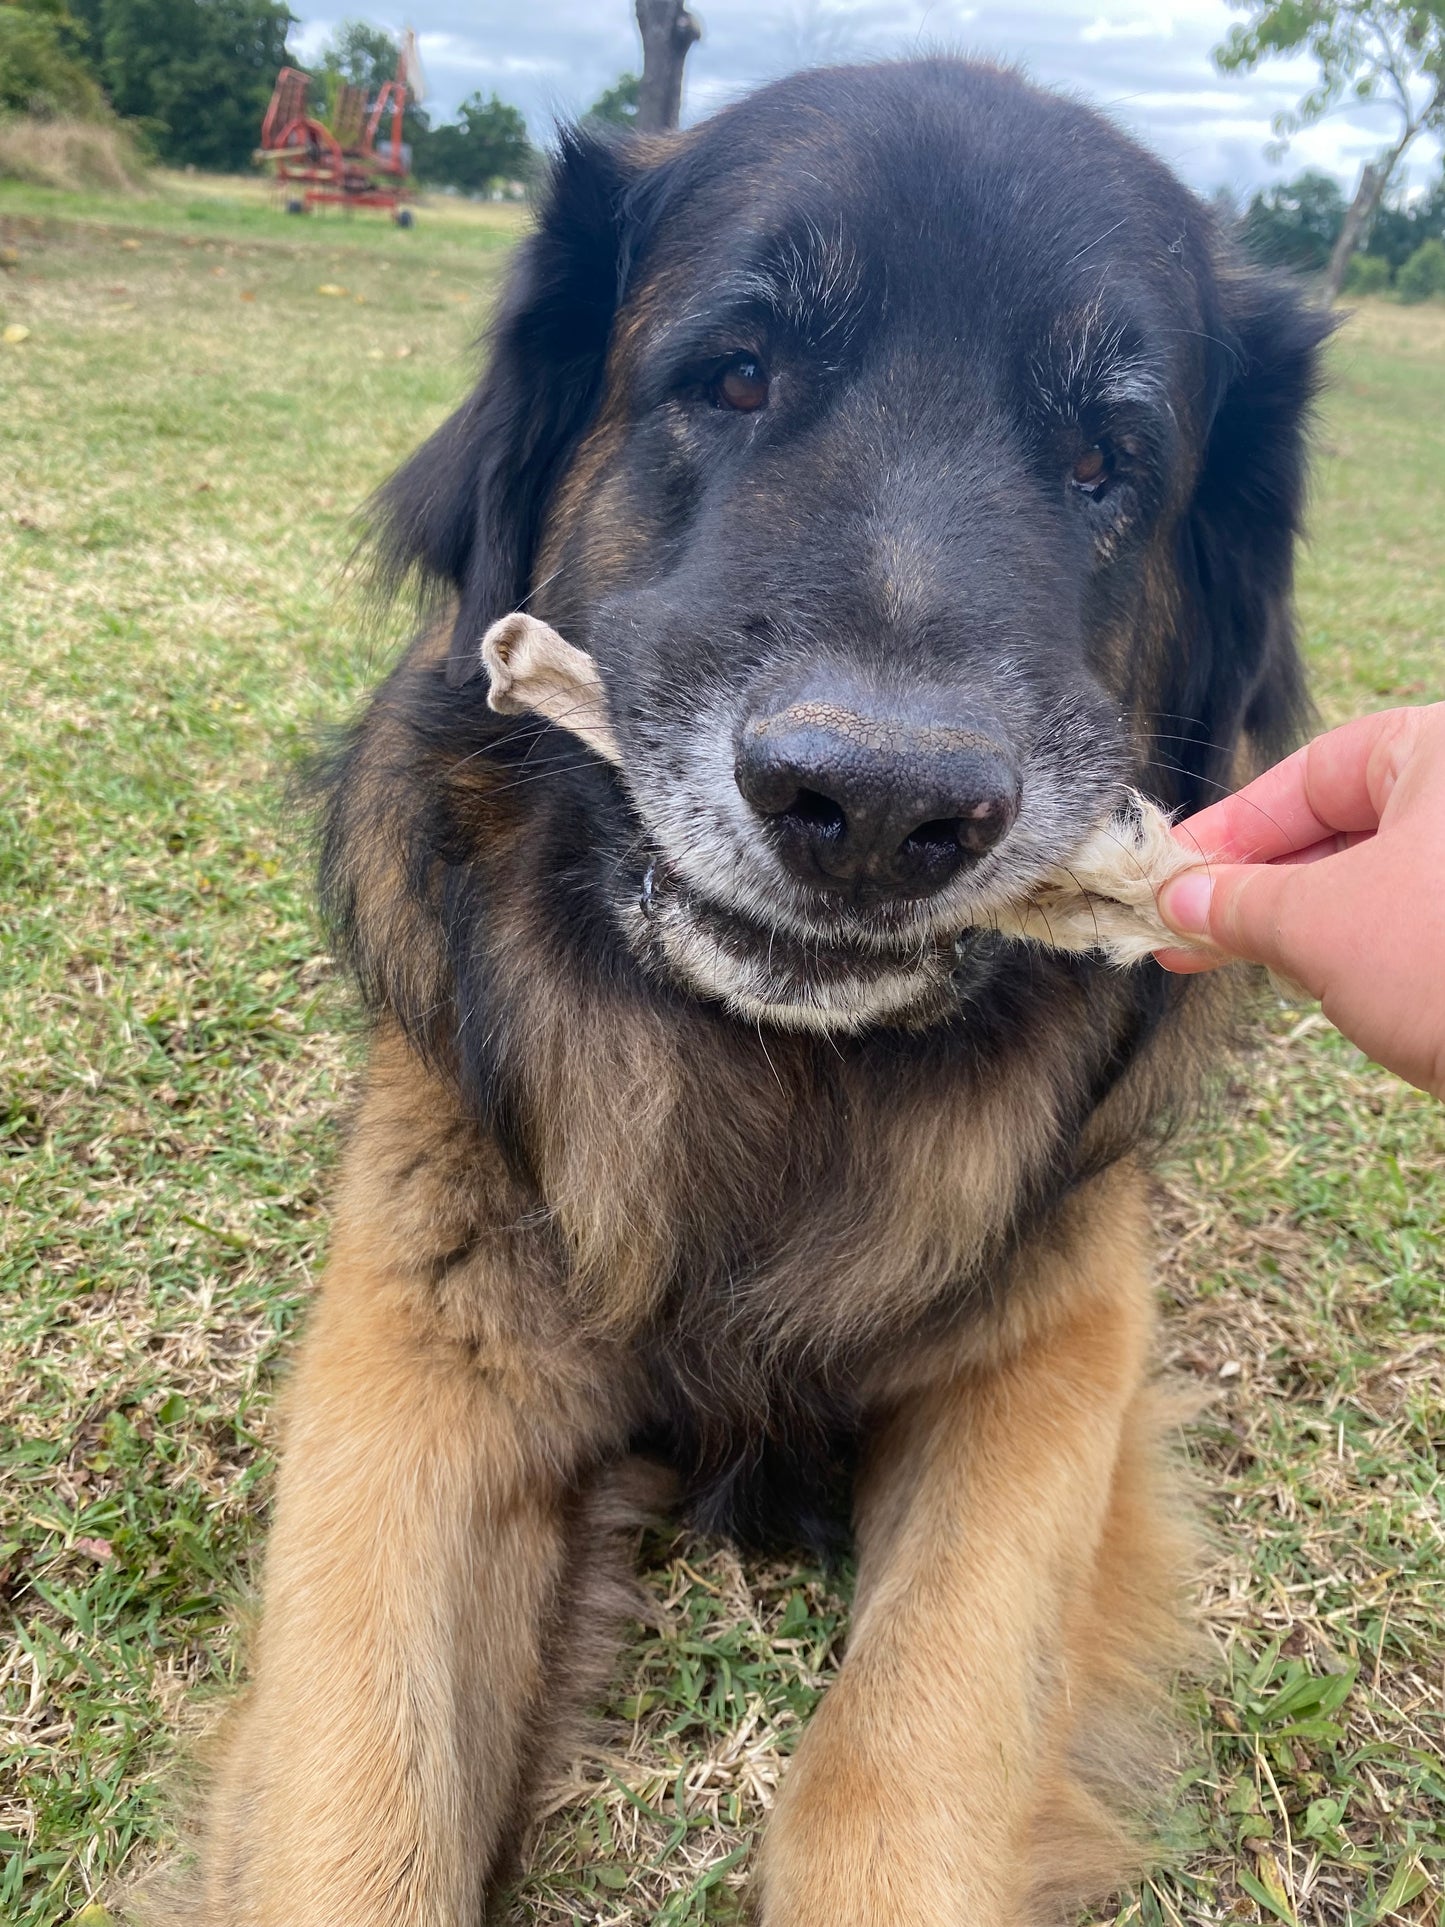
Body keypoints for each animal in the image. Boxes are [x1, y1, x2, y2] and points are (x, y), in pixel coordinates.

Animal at [175, 52, 1333, 1927]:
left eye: (1107, 459)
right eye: (732, 376)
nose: (873, 809)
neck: (773, 1075)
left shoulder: (1055, 1349)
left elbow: (900, 1766)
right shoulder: (422, 1348)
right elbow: (360, 1812)